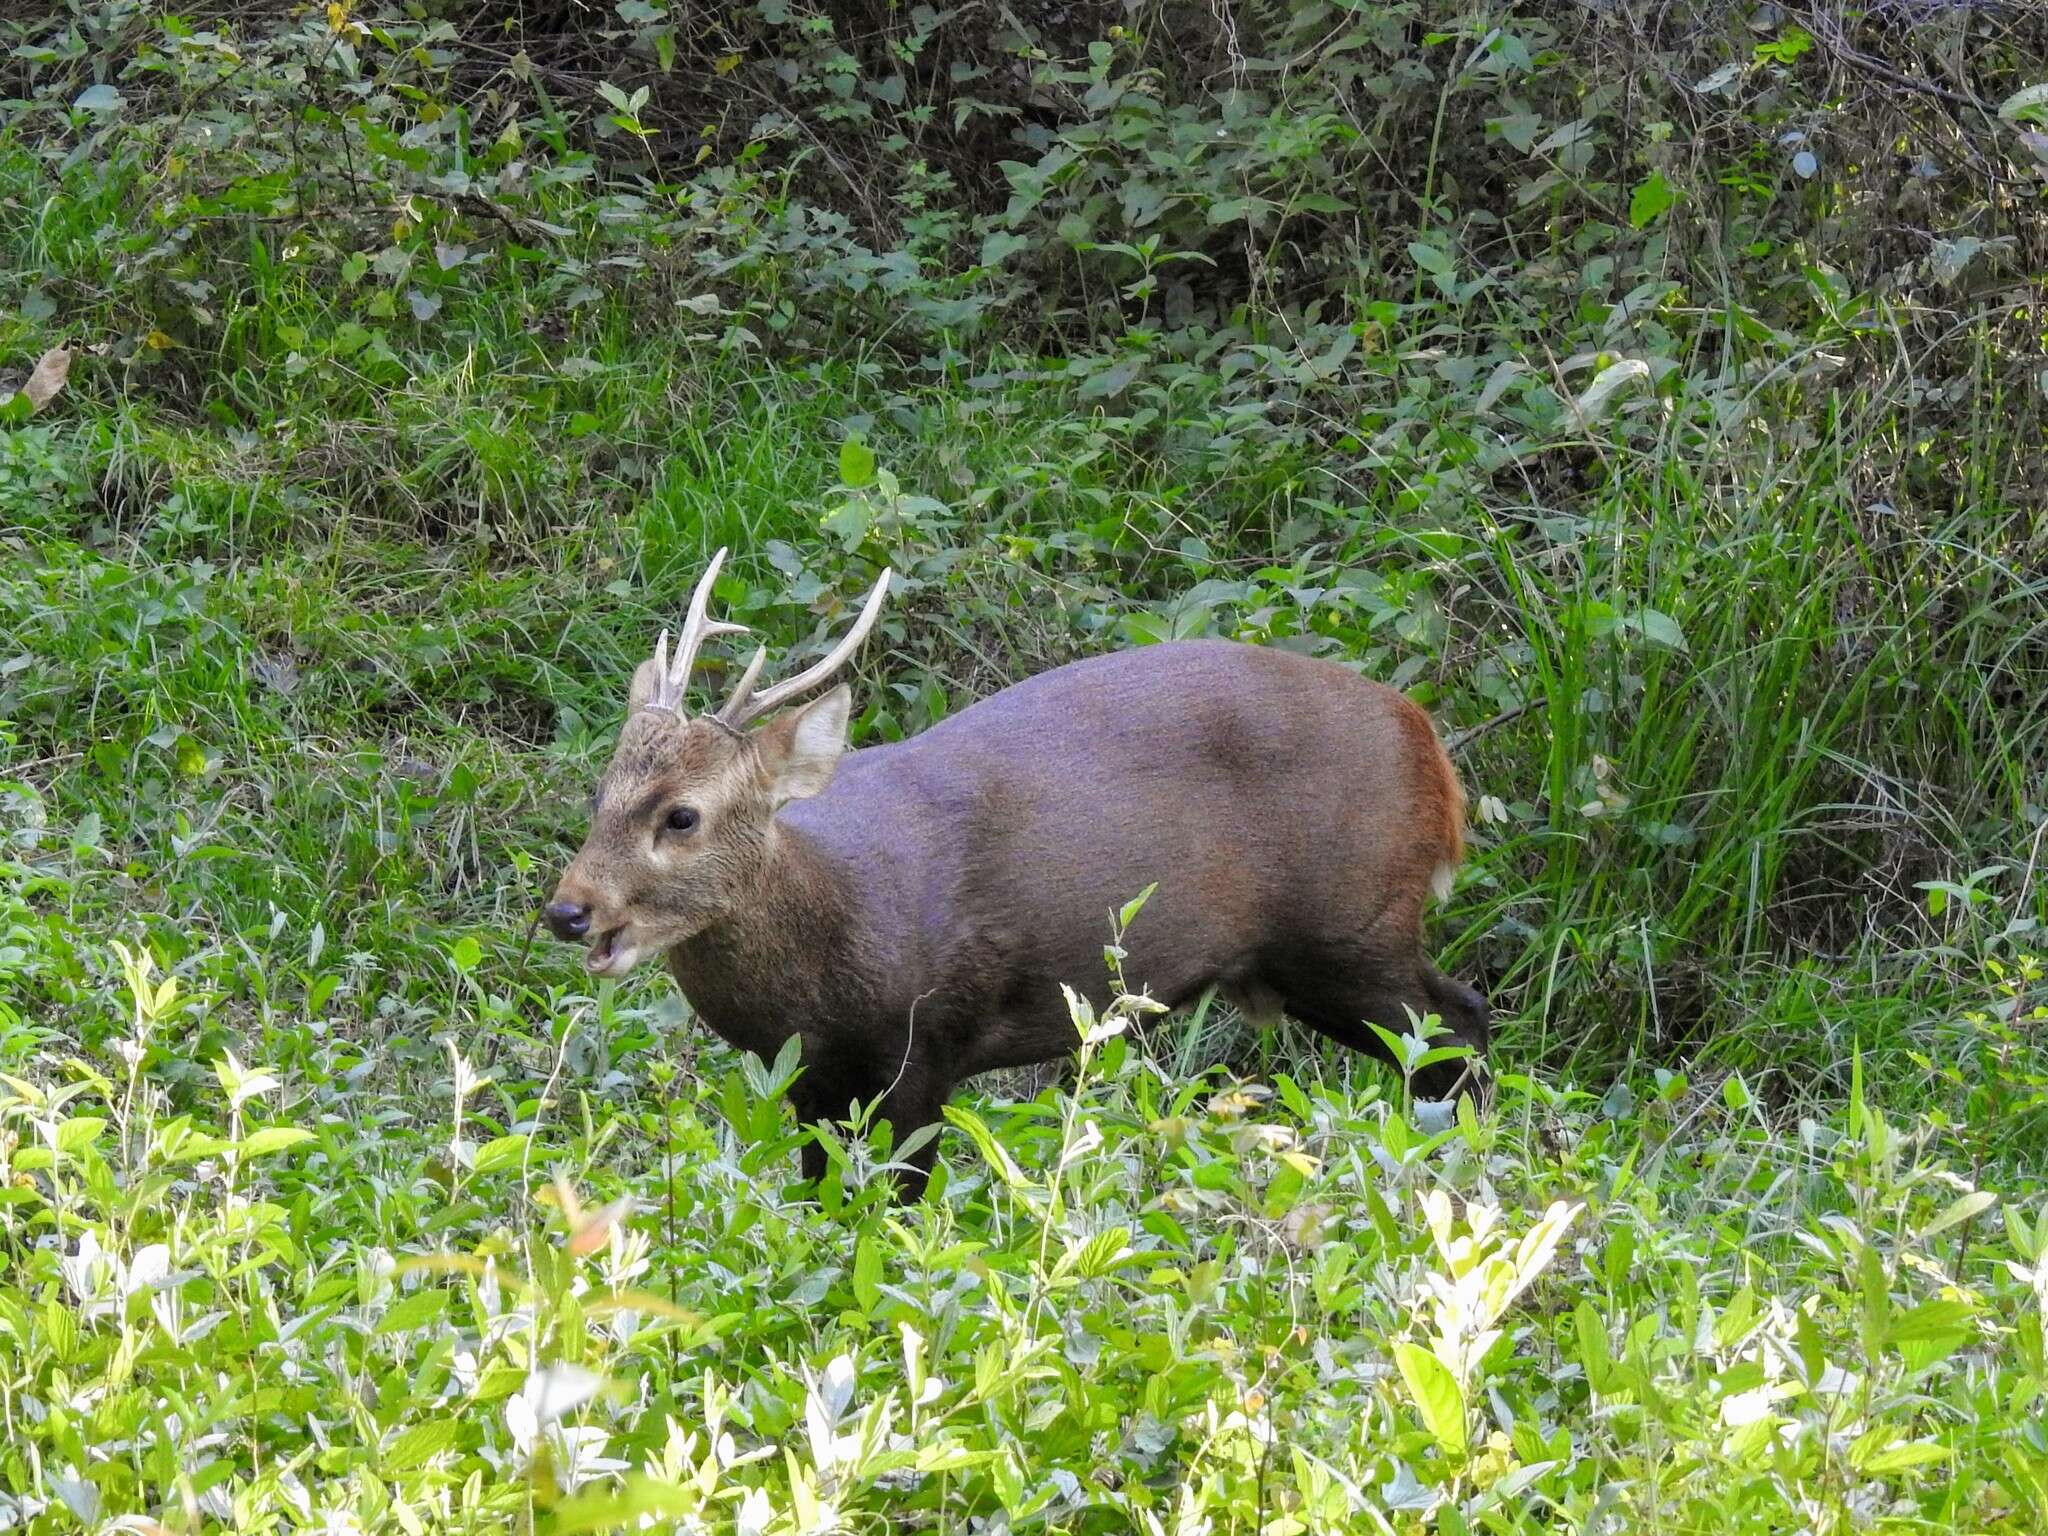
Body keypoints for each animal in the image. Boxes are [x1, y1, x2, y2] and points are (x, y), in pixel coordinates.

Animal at [548, 552, 1490, 1204]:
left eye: (682, 816)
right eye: (600, 793)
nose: (568, 911)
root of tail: (1432, 751)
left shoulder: (925, 1045)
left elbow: (896, 1208)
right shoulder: (810, 1081)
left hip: (1350, 923)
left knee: (1459, 1025)